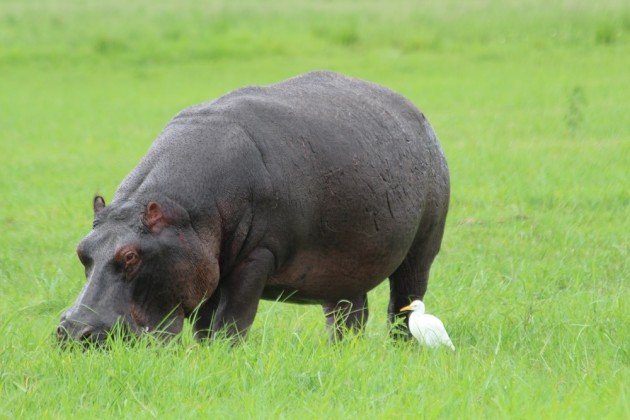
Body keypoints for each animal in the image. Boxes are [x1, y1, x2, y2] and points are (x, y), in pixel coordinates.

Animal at [55, 70, 450, 342]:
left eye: (130, 256)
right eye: (81, 250)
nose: (73, 331)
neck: (180, 215)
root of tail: (419, 115)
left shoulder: (256, 258)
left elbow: (232, 321)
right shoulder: (208, 266)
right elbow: (203, 327)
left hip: (420, 250)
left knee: (402, 303)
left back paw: (401, 348)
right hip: (344, 266)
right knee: (347, 316)